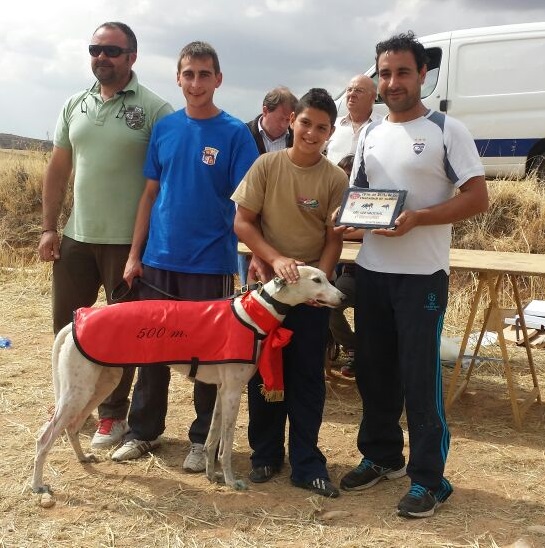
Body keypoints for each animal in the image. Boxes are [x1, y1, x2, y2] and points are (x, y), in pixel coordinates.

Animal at [31, 264, 342, 504]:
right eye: (316, 280)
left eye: (327, 277)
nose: (343, 297)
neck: (254, 312)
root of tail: (76, 321)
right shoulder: (233, 393)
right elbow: (226, 446)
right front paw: (231, 481)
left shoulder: (222, 392)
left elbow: (212, 439)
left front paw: (211, 475)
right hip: (79, 391)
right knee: (44, 437)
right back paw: (37, 485)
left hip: (100, 385)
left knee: (71, 427)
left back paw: (84, 459)